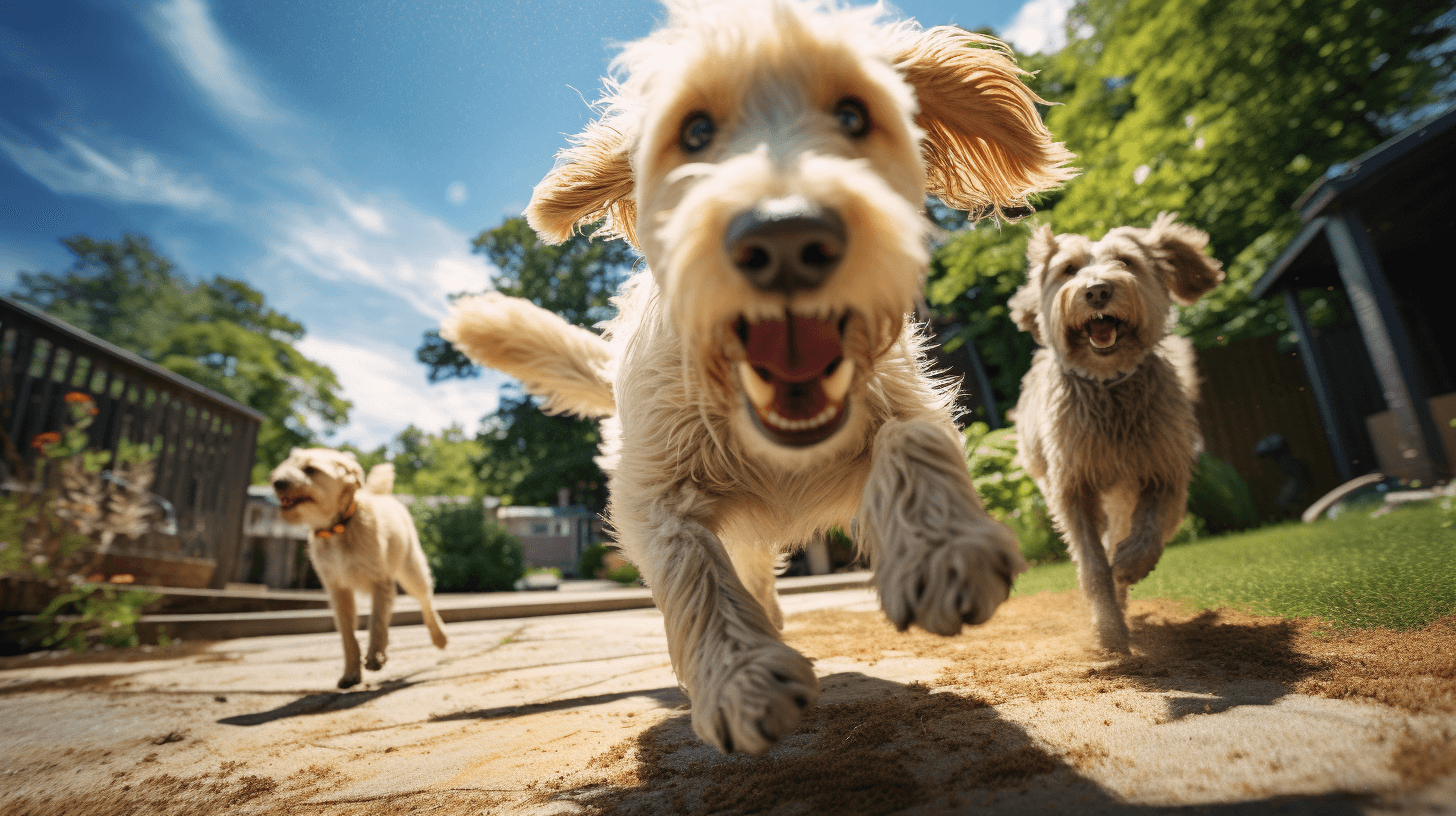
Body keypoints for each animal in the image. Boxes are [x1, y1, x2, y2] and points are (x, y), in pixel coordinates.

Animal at [270, 448, 445, 684]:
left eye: (310, 469)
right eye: (286, 465)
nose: (278, 482)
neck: (337, 528)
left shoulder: (380, 581)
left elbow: (377, 622)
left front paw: (375, 656)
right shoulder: (338, 590)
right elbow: (348, 634)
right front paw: (351, 673)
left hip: (411, 570)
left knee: (426, 601)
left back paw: (439, 637)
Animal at [439, 0, 1071, 751]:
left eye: (854, 115)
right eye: (696, 131)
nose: (785, 235)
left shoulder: (899, 394)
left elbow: (911, 437)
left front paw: (943, 549)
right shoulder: (651, 494)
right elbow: (691, 568)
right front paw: (740, 677)